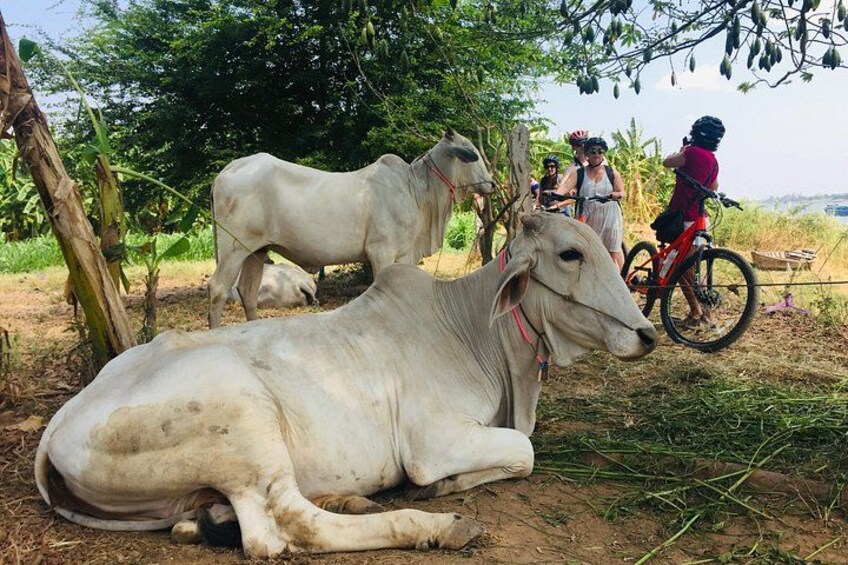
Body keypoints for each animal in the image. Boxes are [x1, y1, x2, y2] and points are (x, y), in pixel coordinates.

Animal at [35, 213, 657, 557]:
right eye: (570, 254)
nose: (648, 334)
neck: (472, 328)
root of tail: (54, 430)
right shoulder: (433, 442)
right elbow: (523, 452)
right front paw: (444, 490)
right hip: (244, 425)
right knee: (283, 528)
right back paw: (438, 526)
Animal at [207, 129, 495, 327]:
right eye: (472, 154)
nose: (492, 184)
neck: (415, 190)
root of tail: (227, 170)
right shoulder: (381, 251)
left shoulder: (404, 254)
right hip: (233, 248)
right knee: (218, 289)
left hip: (255, 250)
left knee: (248, 293)